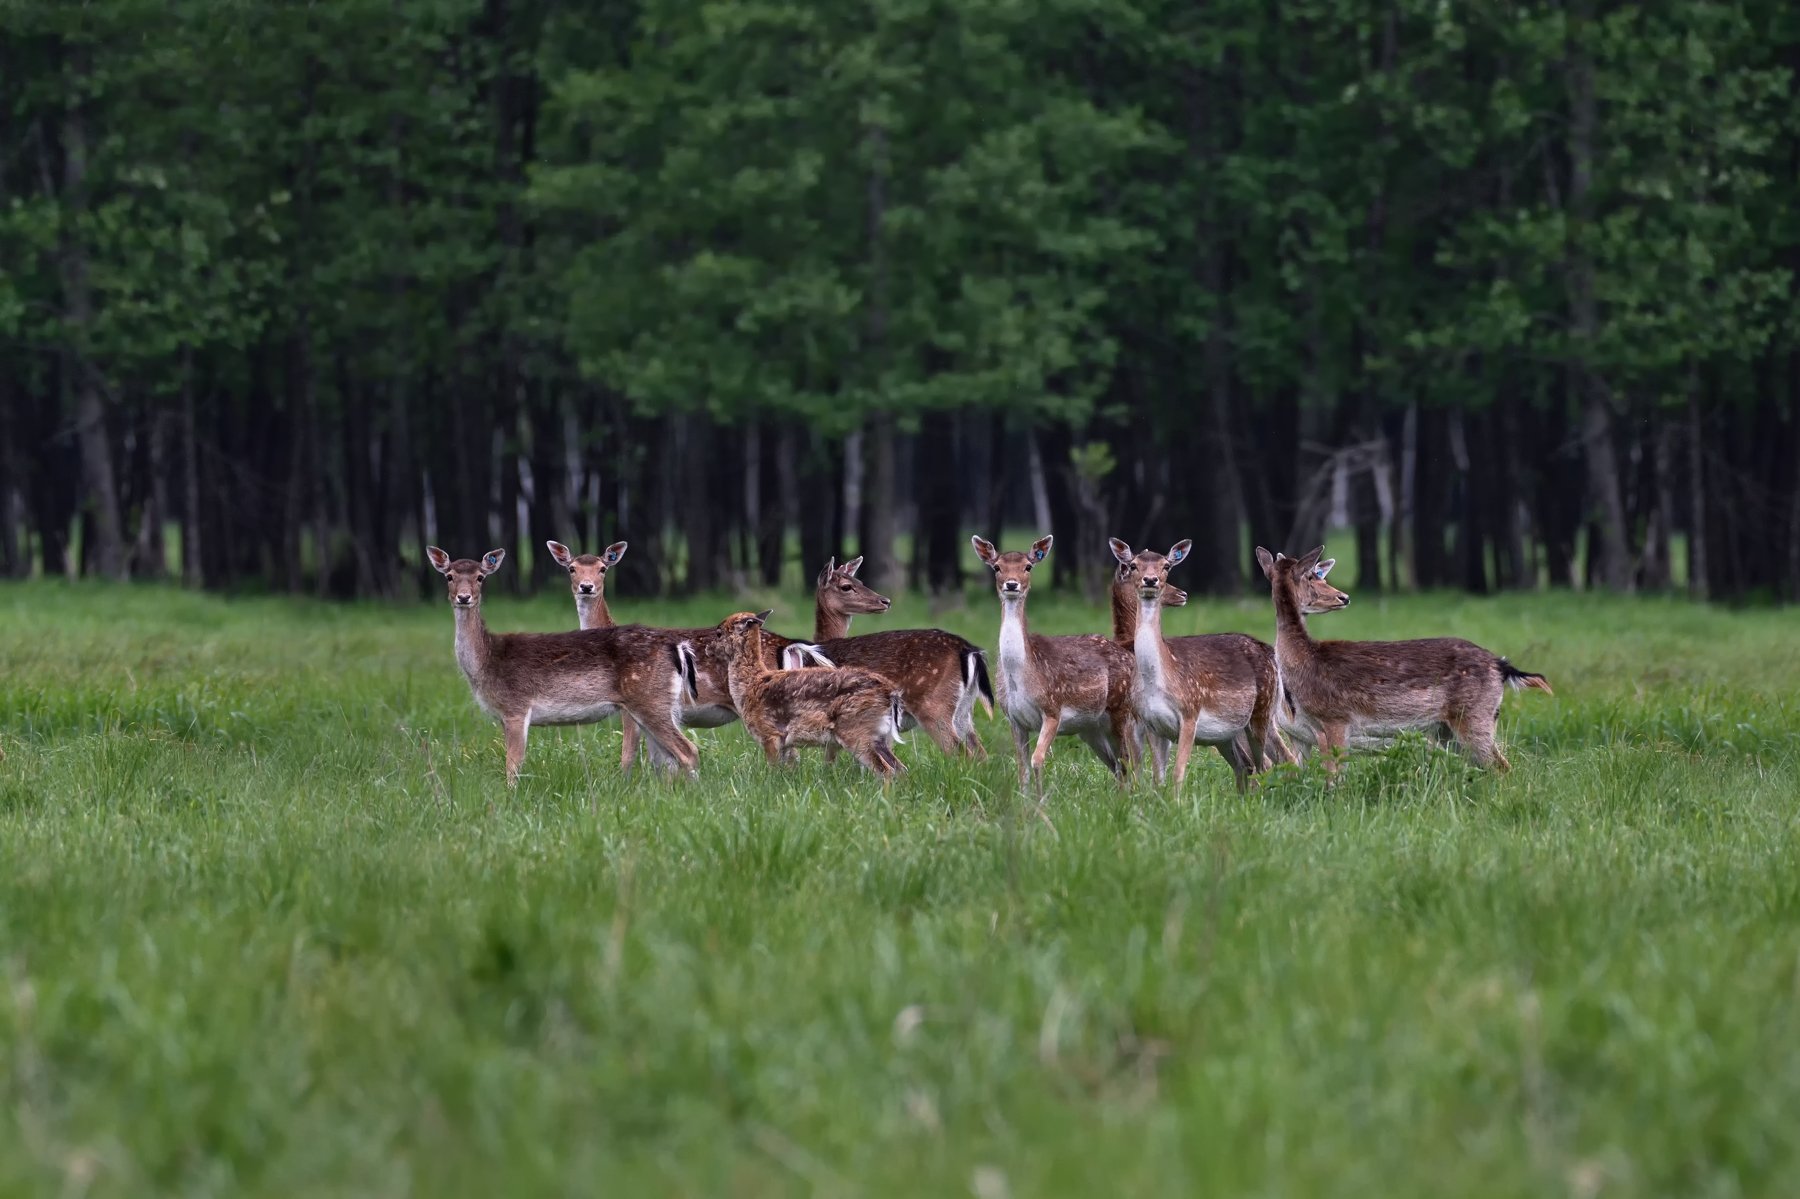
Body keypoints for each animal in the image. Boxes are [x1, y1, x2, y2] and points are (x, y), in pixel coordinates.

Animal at [424, 543, 698, 784]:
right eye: (449, 576)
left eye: (480, 577)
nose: (464, 597)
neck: (487, 662)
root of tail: (675, 648)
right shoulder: (503, 717)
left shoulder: (516, 707)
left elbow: (513, 765)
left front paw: (511, 797)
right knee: (669, 758)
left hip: (648, 699)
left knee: (688, 750)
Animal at [694, 608, 907, 774]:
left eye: (719, 632)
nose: (707, 648)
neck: (751, 684)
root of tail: (891, 694)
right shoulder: (785, 742)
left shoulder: (769, 733)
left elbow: (773, 770)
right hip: (878, 735)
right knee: (900, 768)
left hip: (857, 730)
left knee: (885, 770)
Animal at [972, 536, 1137, 788]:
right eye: (997, 567)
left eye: (1028, 567)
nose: (1012, 584)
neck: (1021, 674)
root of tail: (1129, 656)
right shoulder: (1013, 718)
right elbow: (1022, 768)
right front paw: (1024, 797)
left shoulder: (1052, 709)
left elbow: (1037, 759)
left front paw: (1041, 798)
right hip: (1092, 727)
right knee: (1117, 764)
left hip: (1122, 708)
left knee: (1129, 760)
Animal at [1108, 536, 1296, 788]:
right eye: (1133, 566)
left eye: (1167, 566)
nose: (1182, 594)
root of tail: (1270, 652)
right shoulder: (1144, 721)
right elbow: (1148, 772)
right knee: (1254, 763)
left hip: (1255, 718)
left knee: (1267, 761)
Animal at [1260, 540, 1555, 770]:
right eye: (1313, 576)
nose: (1344, 597)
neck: (1303, 662)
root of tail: (1502, 666)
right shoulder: (1302, 736)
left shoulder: (1335, 719)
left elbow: (1333, 780)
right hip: (1449, 730)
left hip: (1473, 716)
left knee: (1502, 767)